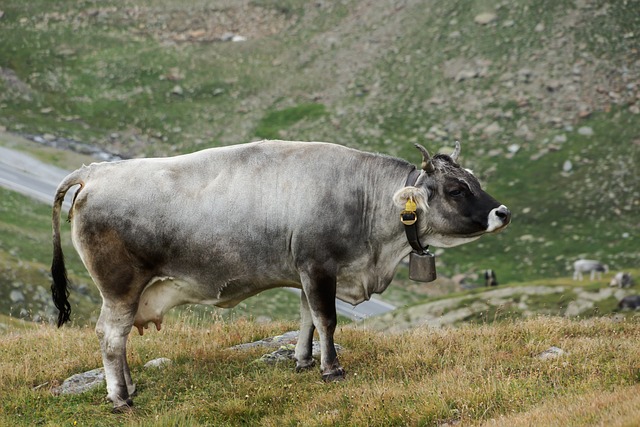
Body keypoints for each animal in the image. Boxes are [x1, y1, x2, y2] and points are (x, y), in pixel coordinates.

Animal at [48, 140, 510, 412]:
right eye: (456, 190)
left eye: (473, 180)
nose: (502, 212)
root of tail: (95, 171)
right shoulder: (319, 266)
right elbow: (327, 319)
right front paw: (331, 369)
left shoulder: (306, 271)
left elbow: (307, 318)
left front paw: (303, 361)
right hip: (119, 287)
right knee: (110, 336)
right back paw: (120, 398)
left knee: (119, 338)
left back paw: (129, 386)